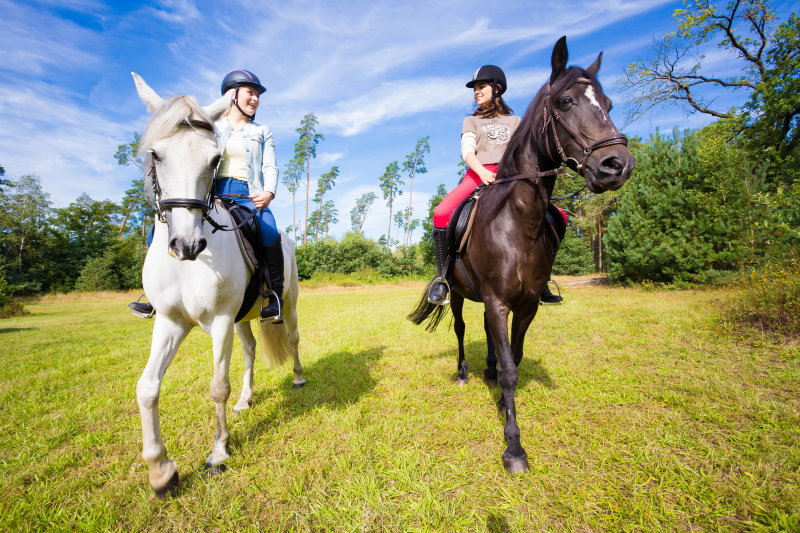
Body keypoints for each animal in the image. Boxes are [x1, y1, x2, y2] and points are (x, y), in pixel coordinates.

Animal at [131, 72, 306, 496]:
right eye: (156, 155)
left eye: (213, 159)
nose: (187, 245)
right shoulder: (171, 322)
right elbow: (147, 387)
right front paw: (161, 471)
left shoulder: (221, 320)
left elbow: (216, 386)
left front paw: (218, 453)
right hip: (242, 319)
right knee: (250, 350)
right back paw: (246, 400)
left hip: (287, 304)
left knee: (292, 338)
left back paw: (297, 378)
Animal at [410, 35, 636, 472]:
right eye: (565, 102)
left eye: (609, 103)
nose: (617, 165)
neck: (518, 222)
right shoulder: (498, 301)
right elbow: (512, 370)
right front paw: (514, 447)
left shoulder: (526, 304)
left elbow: (513, 356)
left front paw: (502, 401)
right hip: (459, 293)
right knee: (461, 328)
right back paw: (464, 372)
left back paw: (487, 371)